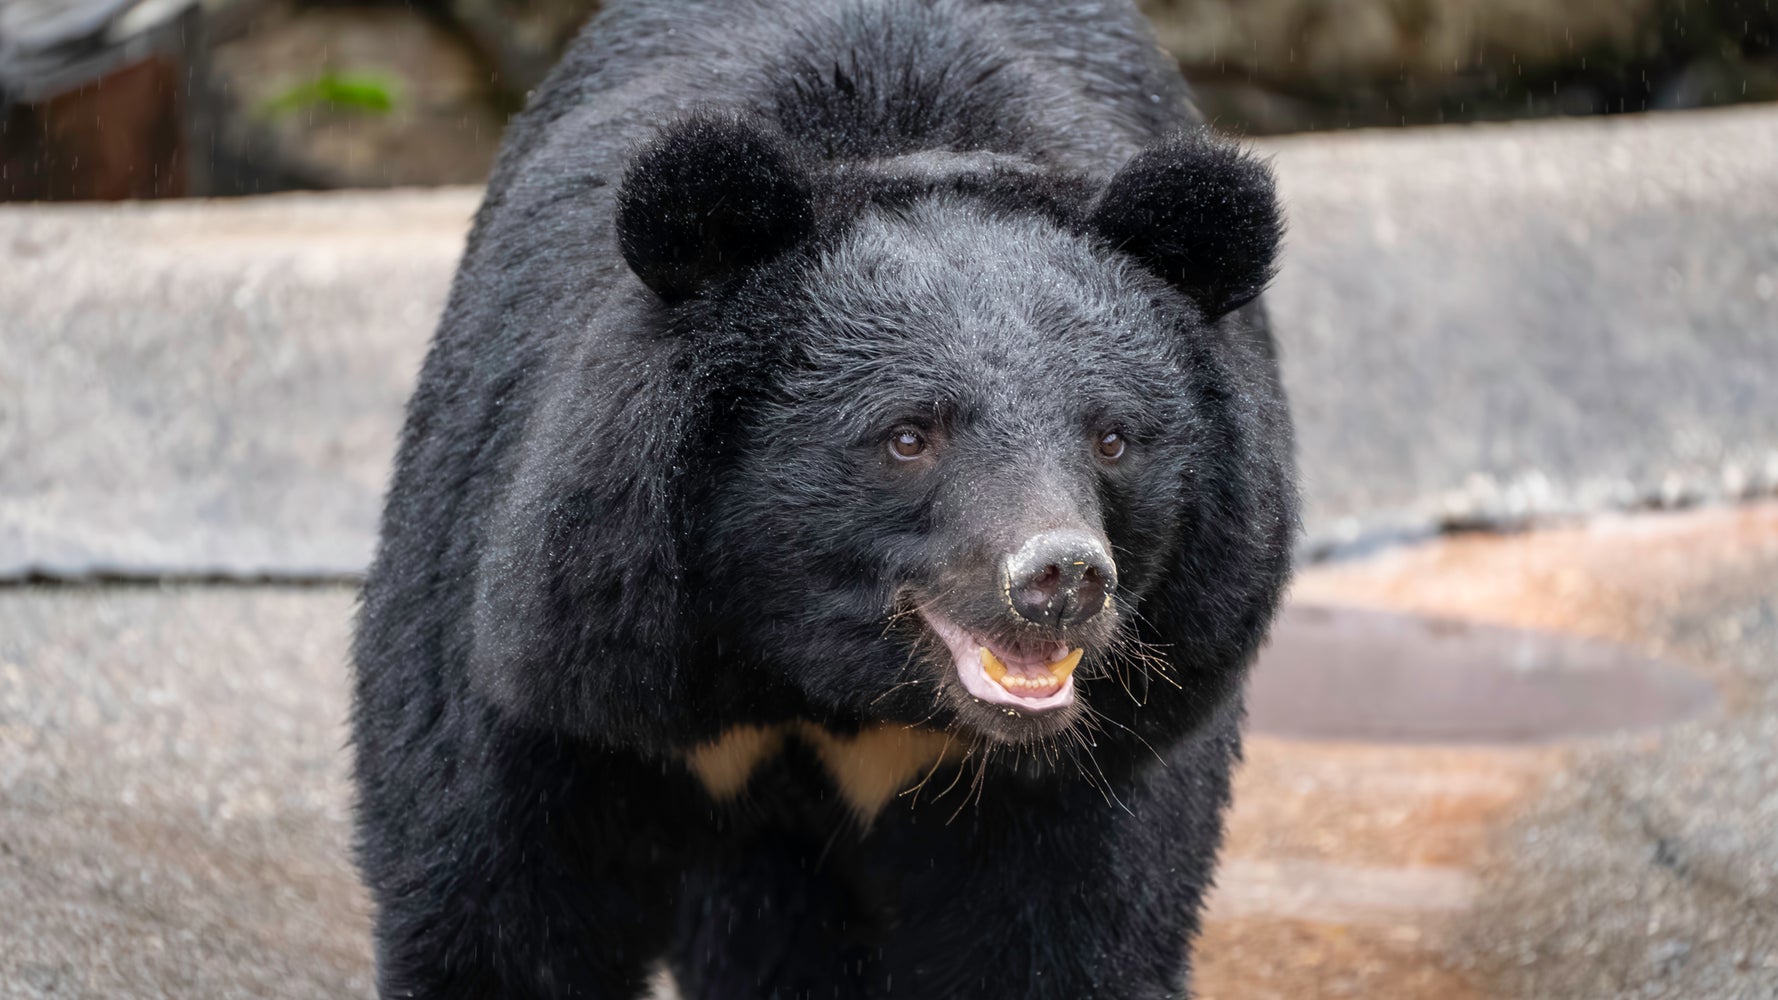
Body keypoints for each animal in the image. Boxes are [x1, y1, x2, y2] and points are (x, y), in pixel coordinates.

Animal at [350, 0, 1296, 997]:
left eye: (1111, 438)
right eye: (909, 436)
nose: (1061, 578)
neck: (825, 679)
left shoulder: (1103, 750)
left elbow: (1073, 933)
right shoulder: (567, 653)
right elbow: (496, 903)